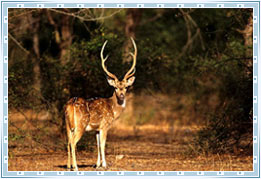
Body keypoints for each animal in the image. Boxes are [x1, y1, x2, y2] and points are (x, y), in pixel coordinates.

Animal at [64, 37, 136, 171]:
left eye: (125, 87)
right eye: (115, 87)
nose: (121, 95)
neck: (113, 109)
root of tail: (70, 104)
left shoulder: (96, 128)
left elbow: (97, 145)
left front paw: (97, 165)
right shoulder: (104, 125)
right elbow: (102, 144)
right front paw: (105, 165)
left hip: (67, 124)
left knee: (68, 142)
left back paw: (68, 166)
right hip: (80, 124)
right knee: (73, 142)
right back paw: (75, 167)